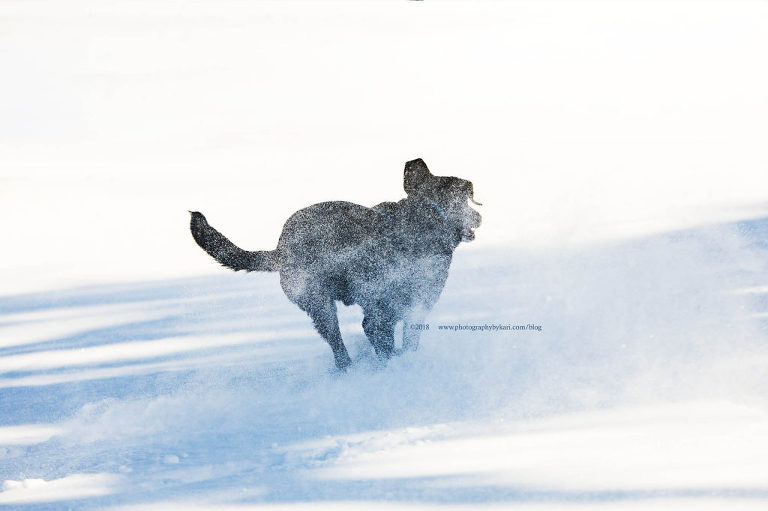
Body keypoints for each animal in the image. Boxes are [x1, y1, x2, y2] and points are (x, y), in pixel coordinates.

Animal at [190, 158, 481, 369]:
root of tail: (281, 249)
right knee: (338, 346)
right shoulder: (387, 311)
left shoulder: (411, 310)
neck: (425, 218)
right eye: (468, 201)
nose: (479, 216)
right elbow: (387, 342)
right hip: (320, 305)